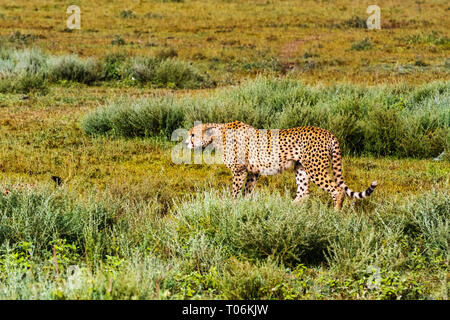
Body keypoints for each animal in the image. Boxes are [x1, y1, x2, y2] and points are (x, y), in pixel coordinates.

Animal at [185, 120, 378, 210]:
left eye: (193, 134)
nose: (186, 142)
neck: (218, 135)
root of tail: (327, 132)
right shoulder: (253, 172)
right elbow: (246, 192)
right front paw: (244, 208)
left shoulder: (239, 171)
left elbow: (235, 192)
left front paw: (231, 208)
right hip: (300, 168)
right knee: (304, 193)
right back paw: (288, 209)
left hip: (315, 168)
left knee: (336, 190)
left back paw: (335, 214)